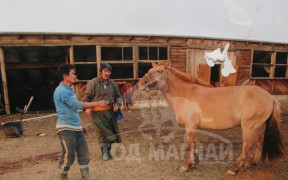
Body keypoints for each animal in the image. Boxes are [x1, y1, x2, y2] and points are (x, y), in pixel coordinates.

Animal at [138, 60, 286, 174]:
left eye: (159, 71)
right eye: (150, 70)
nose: (141, 84)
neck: (185, 94)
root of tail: (270, 97)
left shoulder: (189, 127)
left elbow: (188, 146)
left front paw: (185, 166)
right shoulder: (194, 127)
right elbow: (195, 144)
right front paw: (194, 163)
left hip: (248, 127)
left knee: (247, 146)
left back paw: (234, 169)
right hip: (255, 127)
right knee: (259, 142)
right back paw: (250, 163)